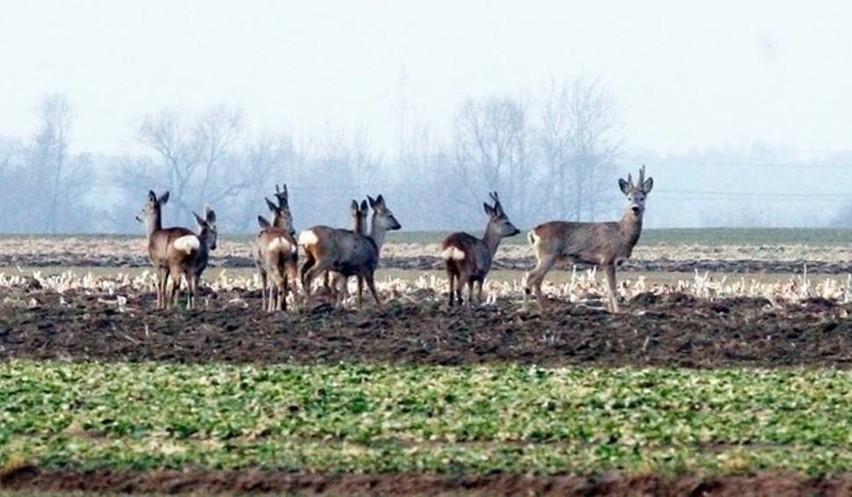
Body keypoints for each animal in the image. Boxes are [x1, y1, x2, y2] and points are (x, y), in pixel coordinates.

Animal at [253, 184, 300, 312]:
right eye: (288, 216)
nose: (292, 231)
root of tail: (280, 240)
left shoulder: (261, 267)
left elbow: (266, 287)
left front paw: (266, 308)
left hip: (271, 264)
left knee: (278, 282)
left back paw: (276, 309)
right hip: (291, 262)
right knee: (293, 282)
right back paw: (296, 308)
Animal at [524, 167, 656, 314]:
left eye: (642, 198)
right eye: (629, 198)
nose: (635, 208)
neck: (622, 234)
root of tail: (533, 232)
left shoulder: (606, 263)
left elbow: (608, 291)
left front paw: (611, 311)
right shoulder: (608, 259)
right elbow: (613, 289)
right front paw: (618, 312)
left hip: (544, 257)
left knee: (537, 280)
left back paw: (543, 310)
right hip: (547, 255)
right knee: (530, 277)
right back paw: (525, 309)